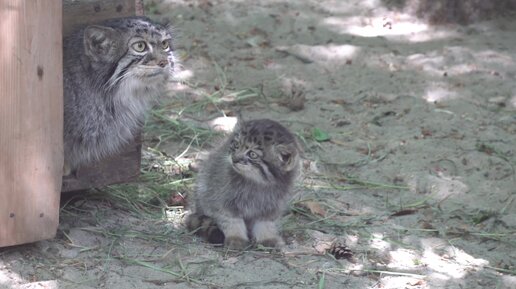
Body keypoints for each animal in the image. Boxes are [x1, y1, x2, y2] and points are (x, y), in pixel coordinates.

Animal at [186, 118, 300, 249]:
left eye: (252, 154)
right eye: (236, 145)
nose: (234, 159)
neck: (257, 183)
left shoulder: (271, 207)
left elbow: (266, 223)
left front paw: (267, 238)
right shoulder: (223, 199)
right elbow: (231, 220)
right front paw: (236, 237)